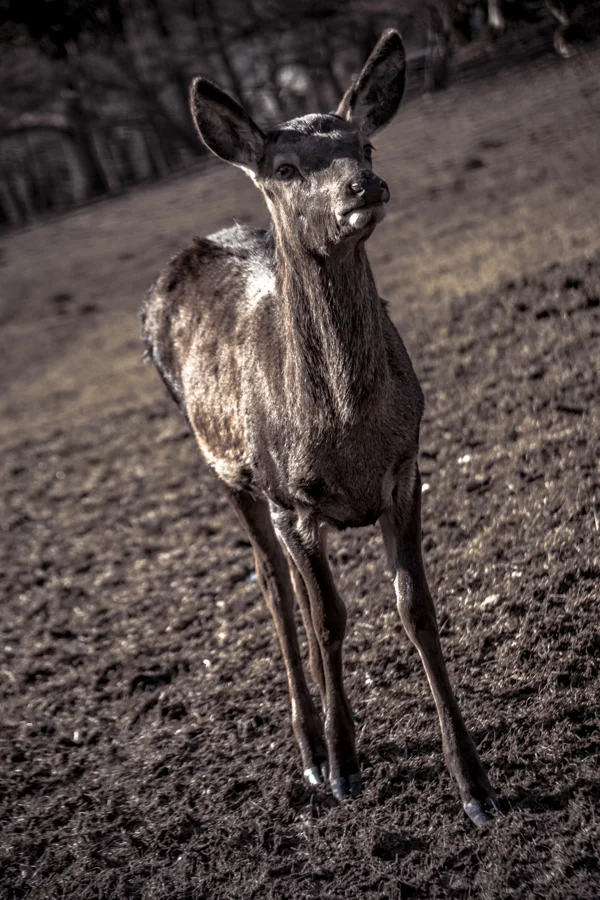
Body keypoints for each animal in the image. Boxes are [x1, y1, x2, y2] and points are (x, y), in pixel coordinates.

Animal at [140, 29, 500, 826]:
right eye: (284, 167)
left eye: (364, 144)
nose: (363, 187)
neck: (347, 433)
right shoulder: (290, 494)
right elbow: (331, 617)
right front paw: (344, 767)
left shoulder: (406, 468)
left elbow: (416, 607)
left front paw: (475, 785)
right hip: (228, 469)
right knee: (275, 585)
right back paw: (309, 748)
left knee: (296, 592)